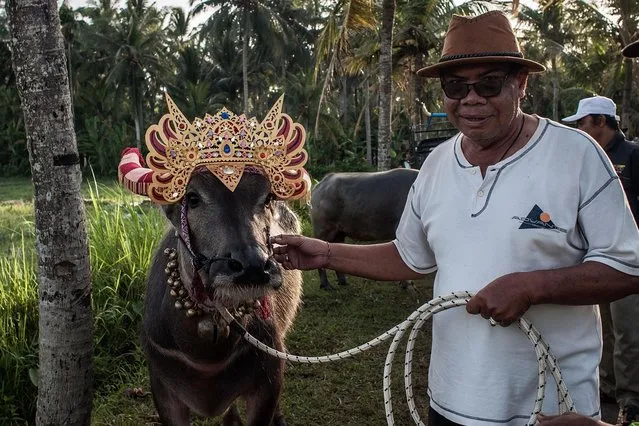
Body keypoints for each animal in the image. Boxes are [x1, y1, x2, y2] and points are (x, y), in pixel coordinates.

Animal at [141, 171, 302, 426]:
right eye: (193, 198)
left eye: (267, 198)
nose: (253, 266)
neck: (207, 358)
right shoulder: (161, 387)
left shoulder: (270, 378)